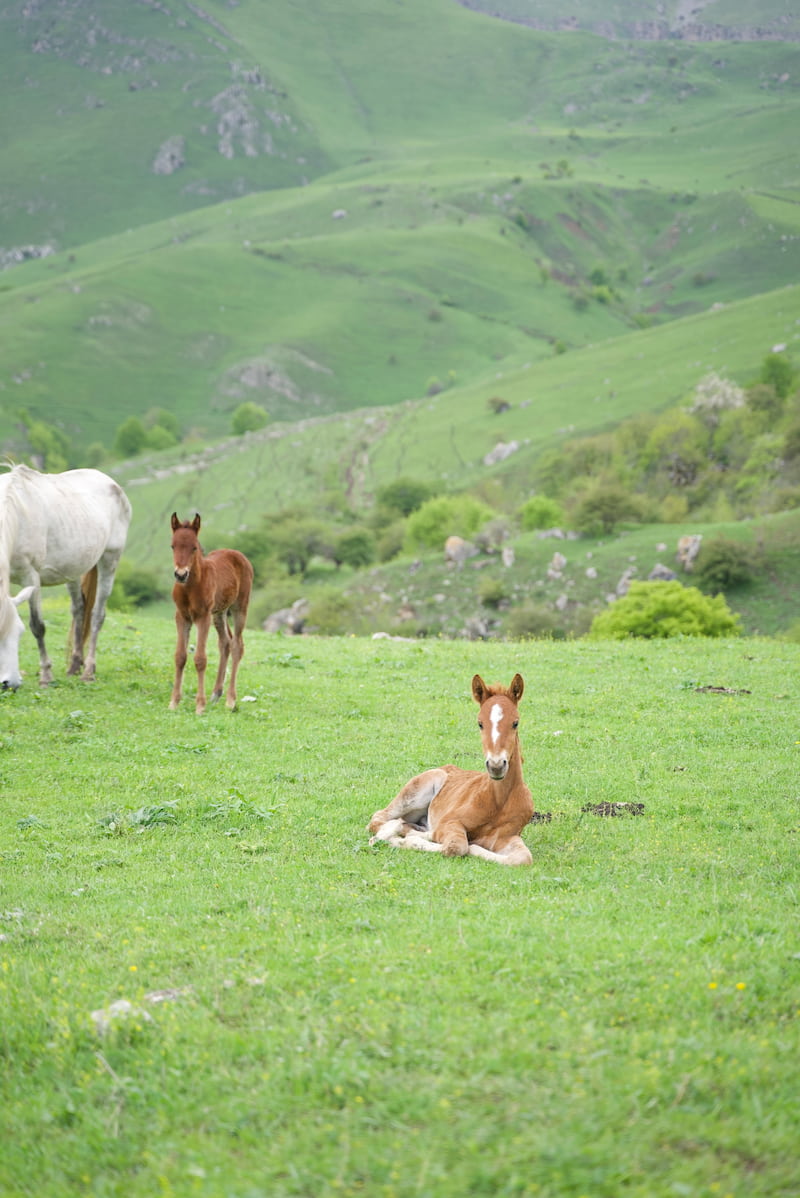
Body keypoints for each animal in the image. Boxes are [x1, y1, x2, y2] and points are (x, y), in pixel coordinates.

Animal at [0, 462, 131, 690]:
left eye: (19, 633)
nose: (11, 684)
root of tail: (112, 484)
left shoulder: (30, 577)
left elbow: (37, 626)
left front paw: (46, 676)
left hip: (110, 559)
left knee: (97, 615)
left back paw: (88, 672)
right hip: (74, 570)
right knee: (79, 610)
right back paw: (74, 666)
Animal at [168, 512, 252, 709]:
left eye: (194, 548)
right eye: (173, 546)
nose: (181, 574)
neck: (190, 587)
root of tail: (237, 553)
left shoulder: (203, 617)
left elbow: (200, 659)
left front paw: (200, 705)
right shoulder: (182, 617)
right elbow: (180, 656)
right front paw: (174, 702)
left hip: (239, 608)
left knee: (237, 645)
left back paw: (230, 699)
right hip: (220, 612)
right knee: (225, 642)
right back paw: (216, 693)